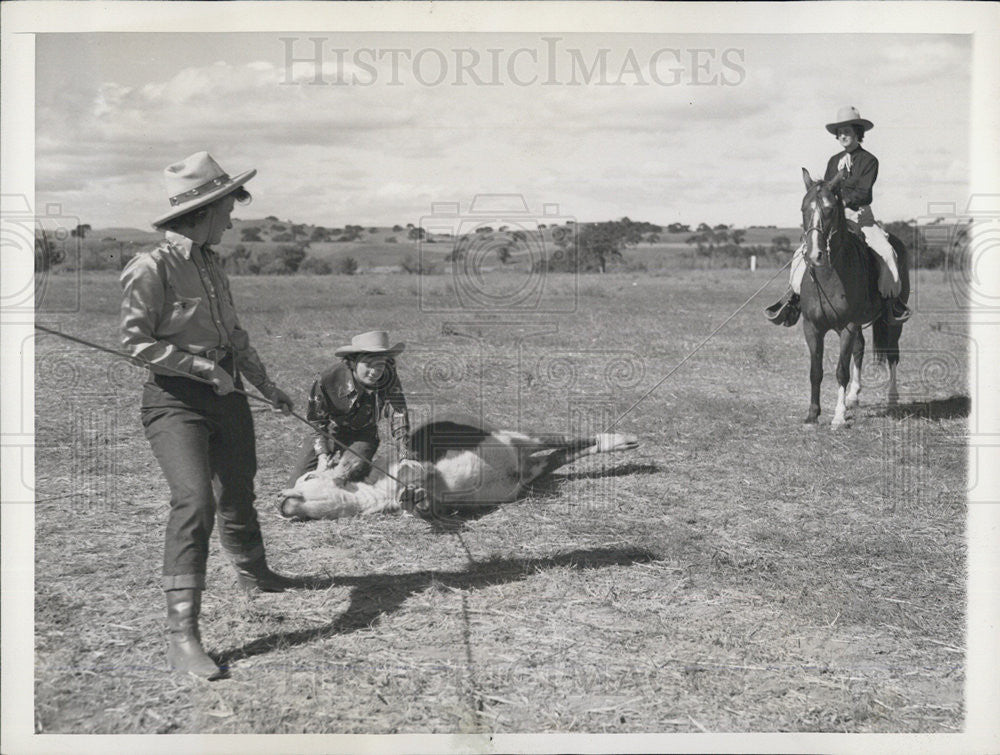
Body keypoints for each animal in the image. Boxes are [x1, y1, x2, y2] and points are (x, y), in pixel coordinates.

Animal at [274, 416, 640, 524]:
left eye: (309, 477)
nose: (281, 502)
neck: (381, 493)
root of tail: (520, 463)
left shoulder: (420, 463)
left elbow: (413, 470)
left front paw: (412, 485)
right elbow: (422, 504)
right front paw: (415, 499)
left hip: (521, 437)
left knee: (573, 438)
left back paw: (623, 439)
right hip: (534, 469)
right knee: (567, 453)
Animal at [796, 168, 908, 426]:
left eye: (830, 209)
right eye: (804, 209)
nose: (814, 255)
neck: (828, 276)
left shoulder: (847, 326)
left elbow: (841, 371)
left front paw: (838, 417)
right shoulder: (812, 327)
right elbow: (815, 371)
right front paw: (812, 414)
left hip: (891, 323)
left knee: (892, 354)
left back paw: (892, 399)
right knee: (860, 348)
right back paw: (853, 397)